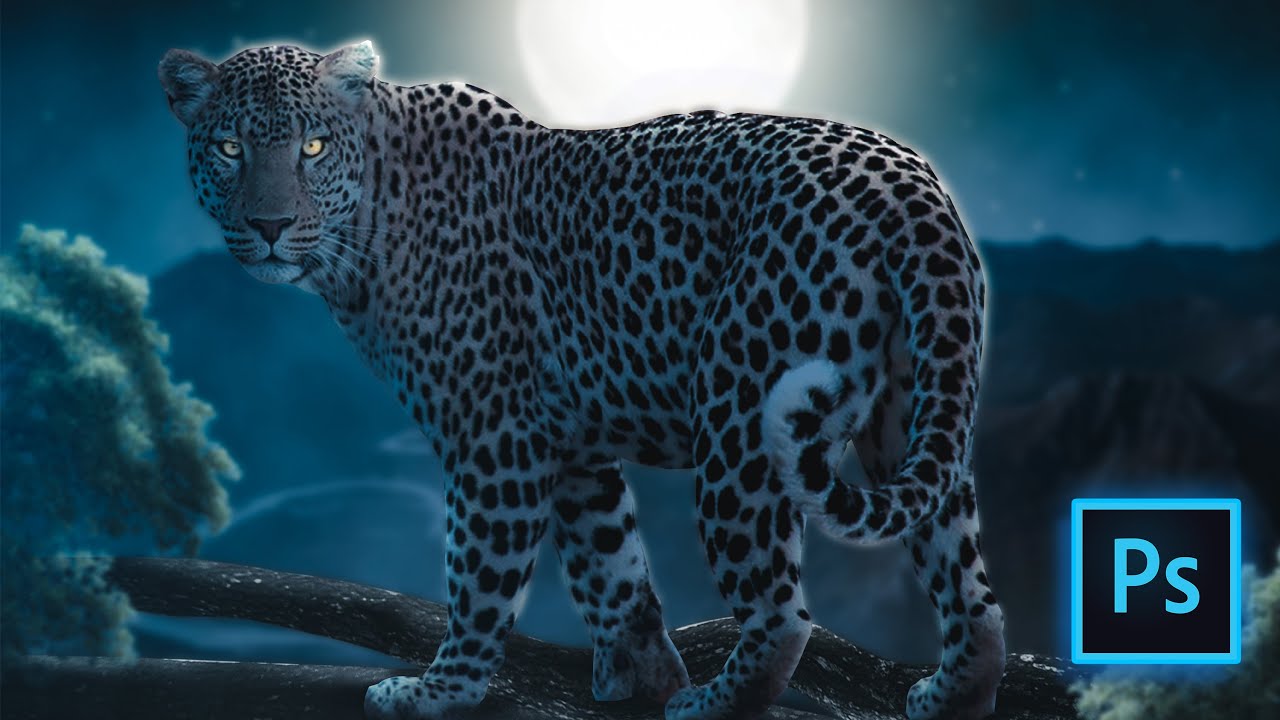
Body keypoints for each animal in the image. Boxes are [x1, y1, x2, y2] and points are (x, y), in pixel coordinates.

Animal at [159, 41, 1006, 720]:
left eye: (311, 147)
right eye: (229, 147)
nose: (269, 226)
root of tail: (907, 182)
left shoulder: (494, 437)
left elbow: (480, 575)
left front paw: (442, 690)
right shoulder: (571, 446)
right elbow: (612, 568)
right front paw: (642, 678)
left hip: (740, 419)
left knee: (782, 612)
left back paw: (716, 703)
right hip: (914, 408)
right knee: (969, 587)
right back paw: (951, 693)